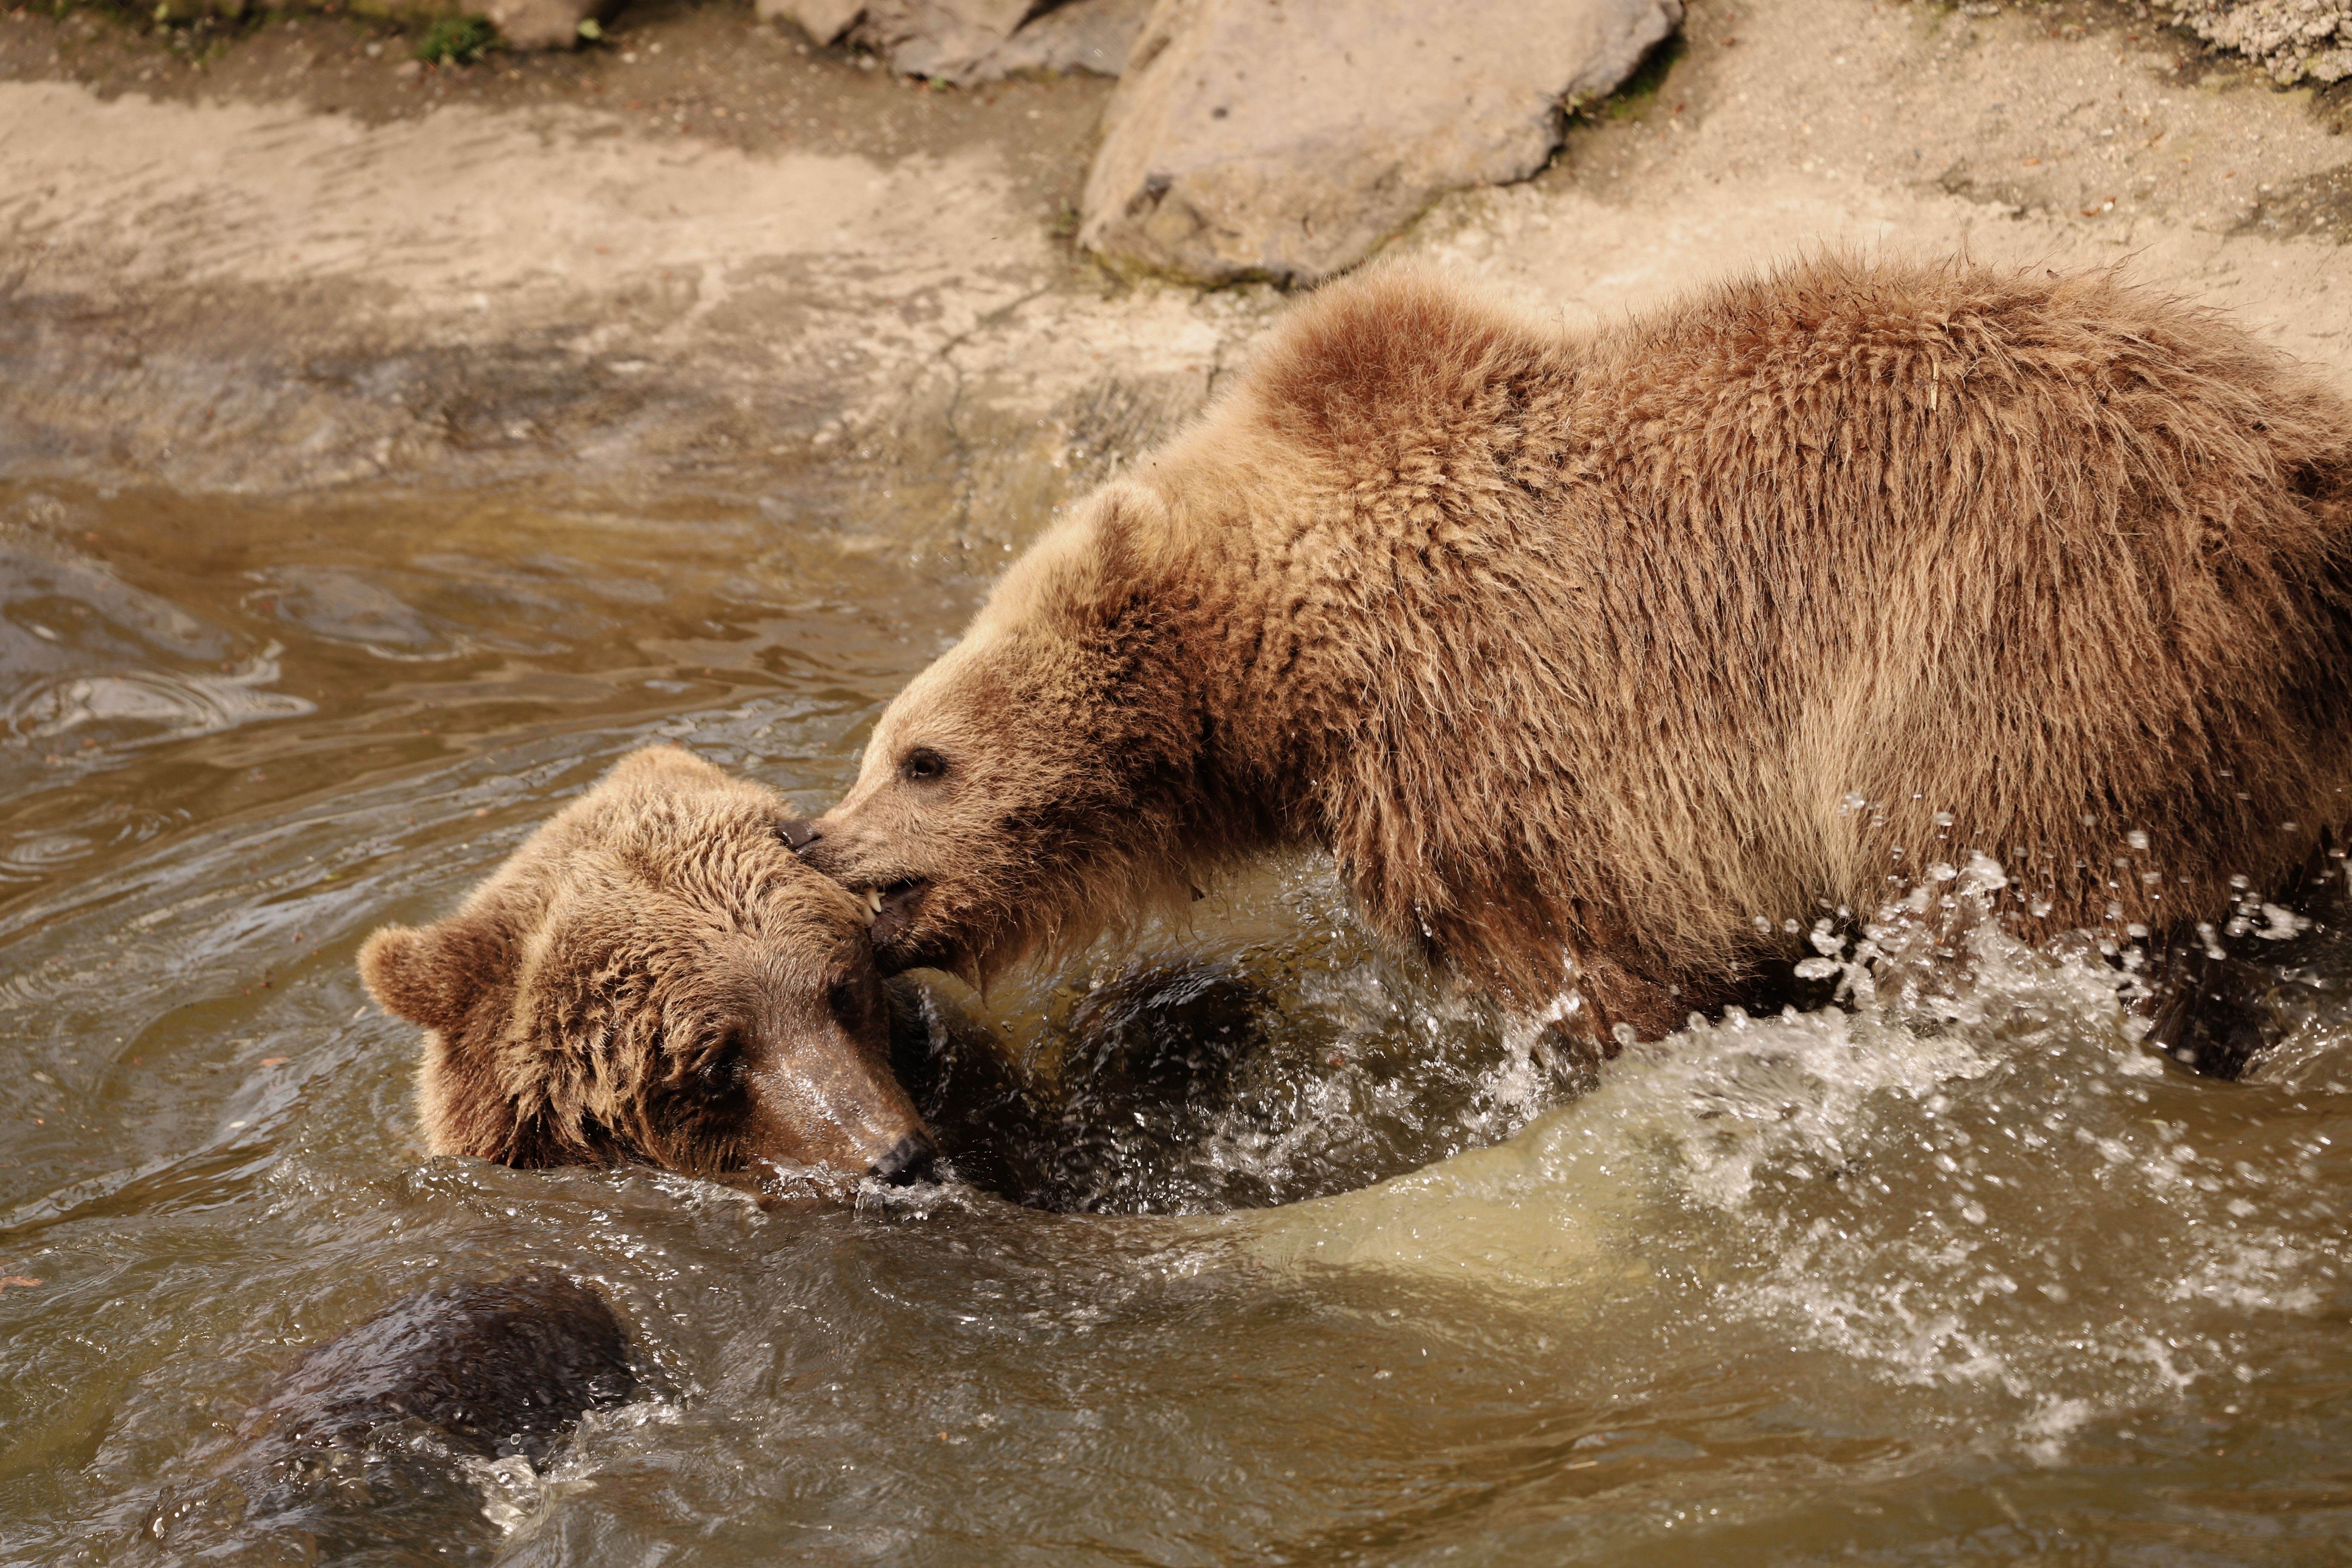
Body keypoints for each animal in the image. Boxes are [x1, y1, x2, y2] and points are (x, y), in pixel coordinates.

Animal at [794, 257, 2352, 1067]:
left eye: (922, 756)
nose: (817, 840)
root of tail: (2292, 461)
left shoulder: (1516, 753)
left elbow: (1597, 974)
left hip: (2025, 642)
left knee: (2012, 892)